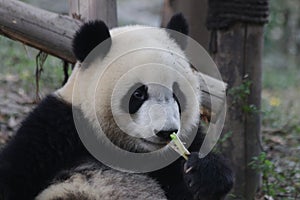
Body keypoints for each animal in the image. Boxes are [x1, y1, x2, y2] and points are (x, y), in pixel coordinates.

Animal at [0, 14, 233, 200]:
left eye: (176, 94)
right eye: (138, 94)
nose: (165, 132)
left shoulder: (175, 153)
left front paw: (205, 172)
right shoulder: (58, 129)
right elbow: (15, 174)